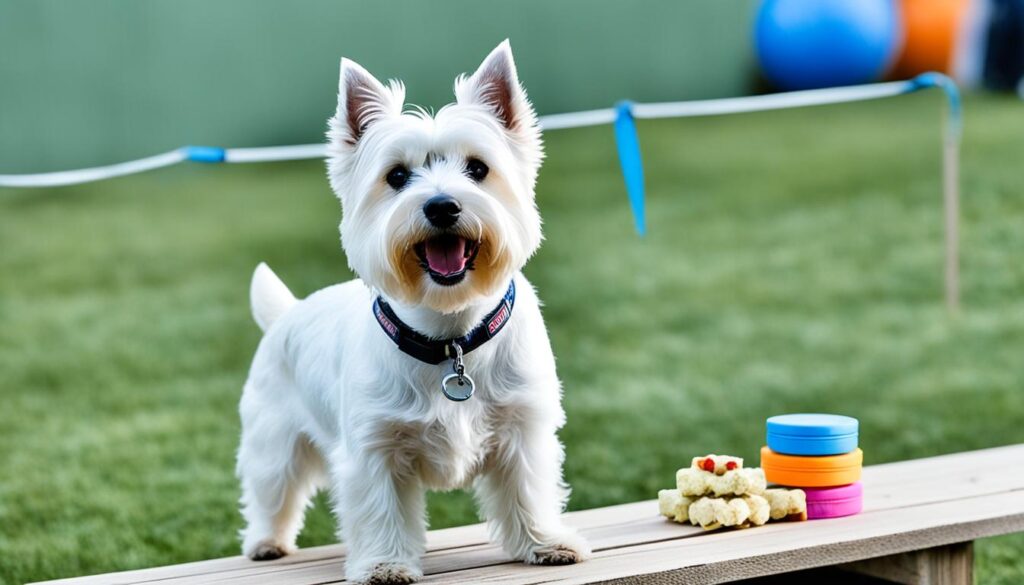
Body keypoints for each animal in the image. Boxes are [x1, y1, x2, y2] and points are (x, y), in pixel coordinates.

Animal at [232, 38, 585, 581]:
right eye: (396, 176)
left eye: (478, 168)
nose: (442, 206)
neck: (450, 335)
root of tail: (285, 313)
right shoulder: (373, 448)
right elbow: (382, 510)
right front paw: (384, 564)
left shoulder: (523, 429)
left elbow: (529, 492)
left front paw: (546, 542)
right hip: (274, 440)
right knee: (271, 491)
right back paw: (266, 542)